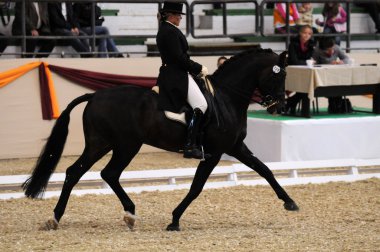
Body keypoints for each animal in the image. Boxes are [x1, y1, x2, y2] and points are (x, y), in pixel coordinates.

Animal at [22, 48, 298, 231]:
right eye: (279, 76)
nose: (280, 107)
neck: (226, 98)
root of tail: (94, 96)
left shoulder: (235, 146)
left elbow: (265, 170)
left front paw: (290, 202)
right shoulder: (215, 152)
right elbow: (196, 187)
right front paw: (174, 220)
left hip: (102, 144)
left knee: (78, 172)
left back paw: (62, 218)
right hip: (126, 145)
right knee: (105, 173)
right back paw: (121, 214)